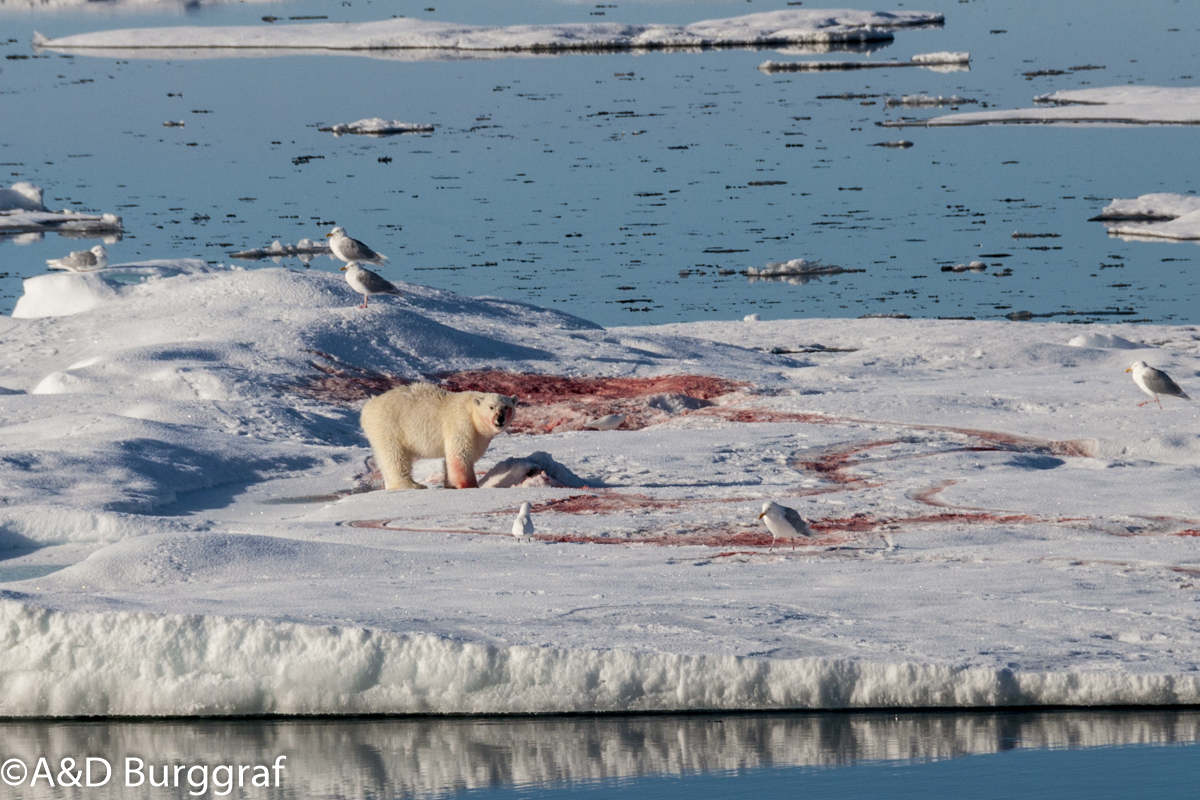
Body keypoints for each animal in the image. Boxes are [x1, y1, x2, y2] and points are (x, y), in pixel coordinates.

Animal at [360, 383, 520, 491]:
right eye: (491, 407)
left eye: (506, 407)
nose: (500, 419)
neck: (472, 410)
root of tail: (368, 407)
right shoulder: (461, 423)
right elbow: (461, 455)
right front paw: (471, 486)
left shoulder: (479, 436)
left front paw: (450, 485)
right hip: (389, 426)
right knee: (395, 456)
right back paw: (413, 485)